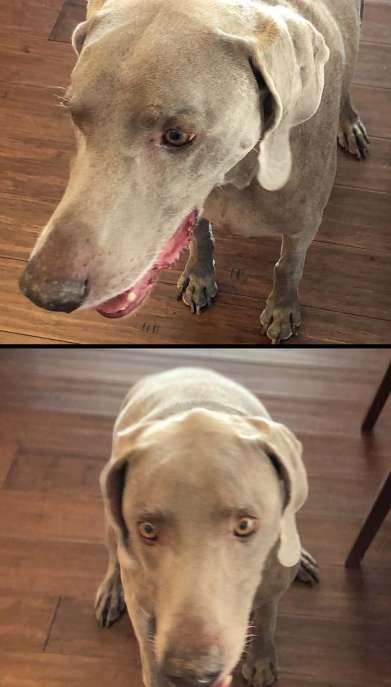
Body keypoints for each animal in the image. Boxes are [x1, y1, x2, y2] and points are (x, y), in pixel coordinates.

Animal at [19, 0, 370, 342]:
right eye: (72, 114)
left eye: (177, 135)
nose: (44, 293)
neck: (236, 177)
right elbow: (200, 236)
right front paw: (199, 278)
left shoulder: (303, 225)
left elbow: (288, 266)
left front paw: (282, 311)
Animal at [96, 370, 320, 687]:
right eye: (147, 529)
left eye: (244, 525)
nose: (192, 672)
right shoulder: (140, 603)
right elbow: (150, 659)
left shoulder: (273, 580)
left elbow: (267, 613)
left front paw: (261, 658)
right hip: (111, 524)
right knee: (115, 558)